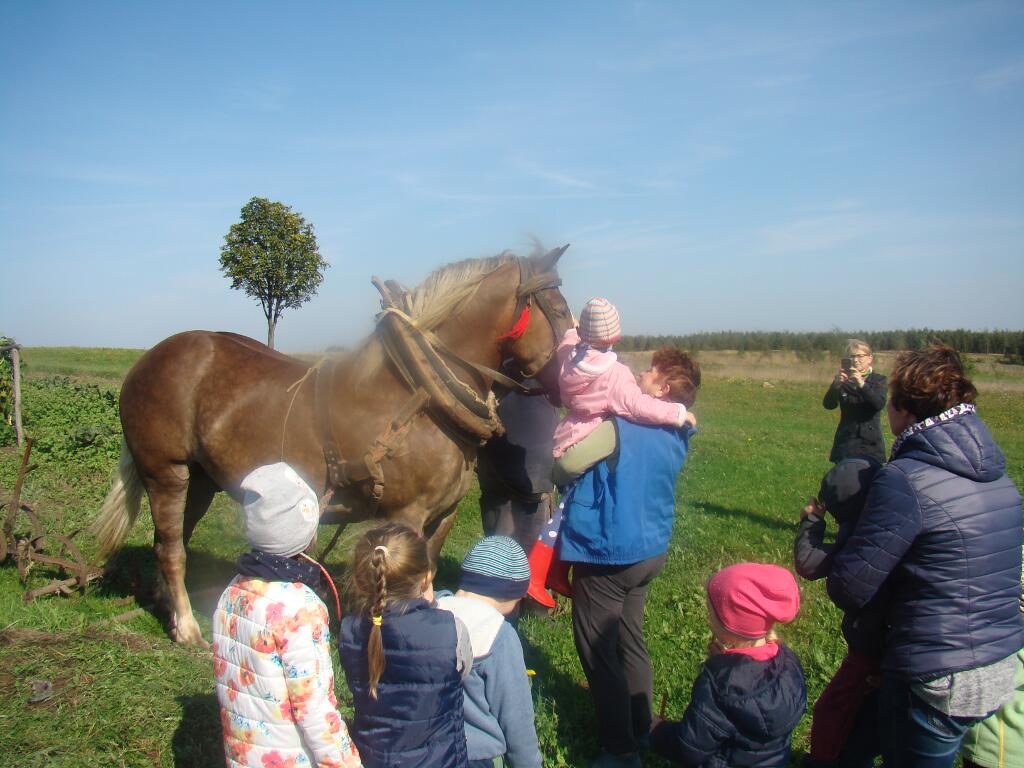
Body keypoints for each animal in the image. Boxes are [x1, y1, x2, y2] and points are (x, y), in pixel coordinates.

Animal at [92, 246, 573, 645]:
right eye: (560, 309)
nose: (569, 381)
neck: (420, 392)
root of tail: (149, 358)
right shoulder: (407, 515)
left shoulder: (443, 516)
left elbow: (430, 575)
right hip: (166, 471)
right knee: (172, 548)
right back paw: (187, 626)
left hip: (201, 479)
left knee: (166, 540)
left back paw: (168, 608)